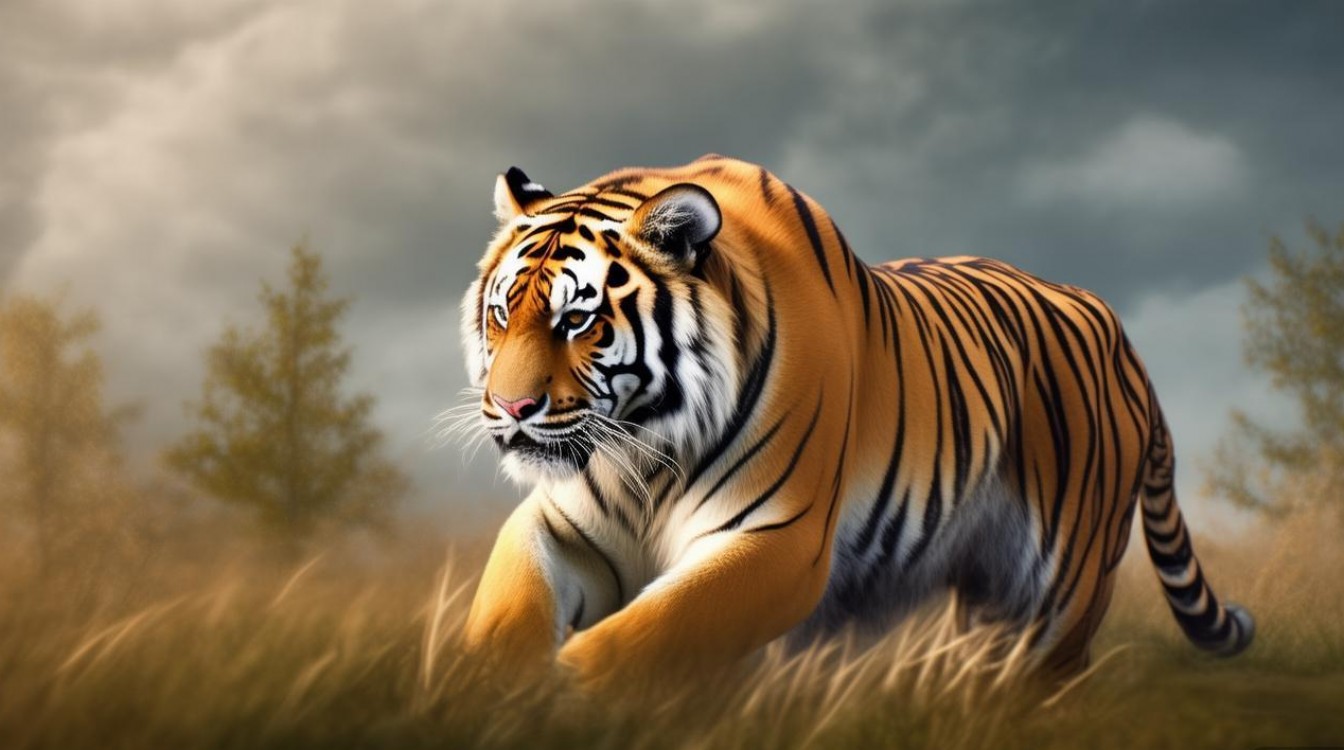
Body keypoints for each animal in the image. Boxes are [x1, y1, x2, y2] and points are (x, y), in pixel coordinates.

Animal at [457, 154, 1254, 690]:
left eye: (576, 320)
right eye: (501, 313)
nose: (511, 408)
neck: (647, 451)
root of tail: (1118, 332)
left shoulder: (778, 539)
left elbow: (645, 635)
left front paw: (565, 692)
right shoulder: (562, 521)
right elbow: (507, 604)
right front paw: (490, 689)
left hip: (1061, 588)